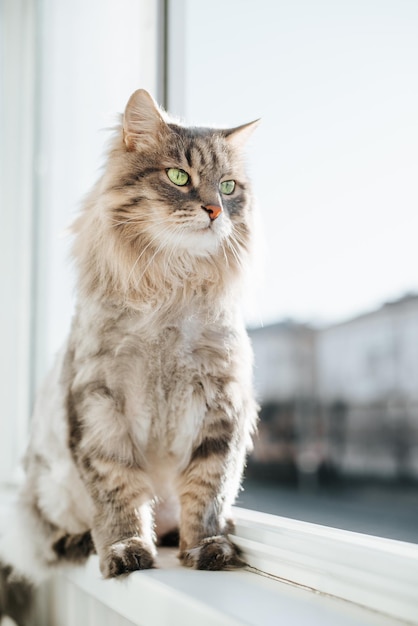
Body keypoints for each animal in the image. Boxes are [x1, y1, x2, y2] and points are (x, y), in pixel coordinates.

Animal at [0, 89, 260, 624]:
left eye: (228, 187)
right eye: (179, 177)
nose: (214, 210)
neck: (171, 289)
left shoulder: (221, 402)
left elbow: (208, 491)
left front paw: (206, 549)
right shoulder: (100, 402)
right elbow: (119, 494)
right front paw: (126, 551)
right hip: (45, 494)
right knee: (49, 538)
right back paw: (84, 542)